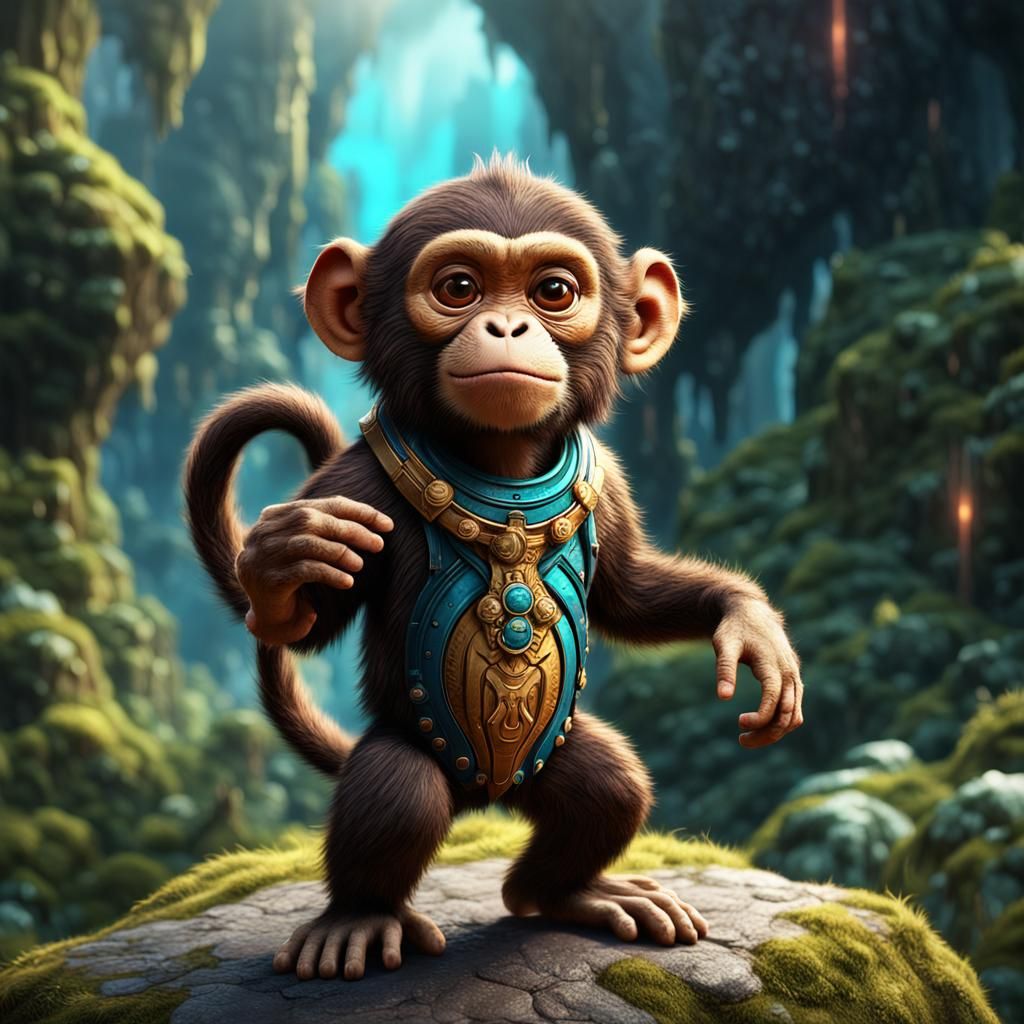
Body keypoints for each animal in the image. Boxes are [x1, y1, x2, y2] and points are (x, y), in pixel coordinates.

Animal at [185, 155, 804, 983]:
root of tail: (489, 799)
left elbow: (629, 596)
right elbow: (311, 622)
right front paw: (282, 561)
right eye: (458, 288)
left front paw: (752, 625)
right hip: (415, 748)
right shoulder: (356, 487)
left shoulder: (609, 482)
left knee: (609, 788)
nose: (508, 327)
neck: (502, 467)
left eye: (554, 293)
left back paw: (571, 894)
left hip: (554, 758)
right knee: (401, 794)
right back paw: (359, 918)